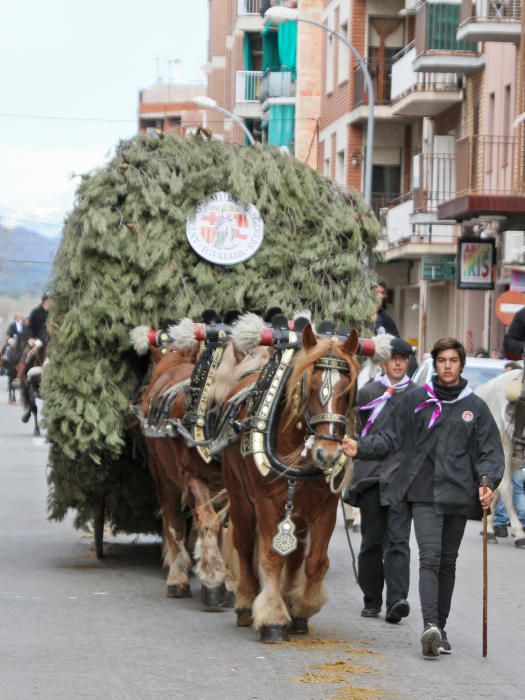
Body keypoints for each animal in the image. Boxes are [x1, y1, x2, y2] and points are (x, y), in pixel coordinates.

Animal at [133, 320, 272, 604]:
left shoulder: (229, 486)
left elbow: (225, 526)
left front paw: (225, 581)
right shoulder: (192, 478)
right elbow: (206, 521)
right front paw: (213, 578)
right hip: (162, 476)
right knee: (174, 522)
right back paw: (177, 577)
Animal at [221, 326, 360, 644]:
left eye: (347, 390)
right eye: (310, 385)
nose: (327, 454)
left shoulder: (324, 509)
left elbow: (316, 561)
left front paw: (301, 606)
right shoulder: (265, 503)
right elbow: (271, 557)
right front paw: (272, 617)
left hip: (297, 514)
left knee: (296, 556)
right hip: (240, 498)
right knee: (244, 546)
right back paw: (246, 603)